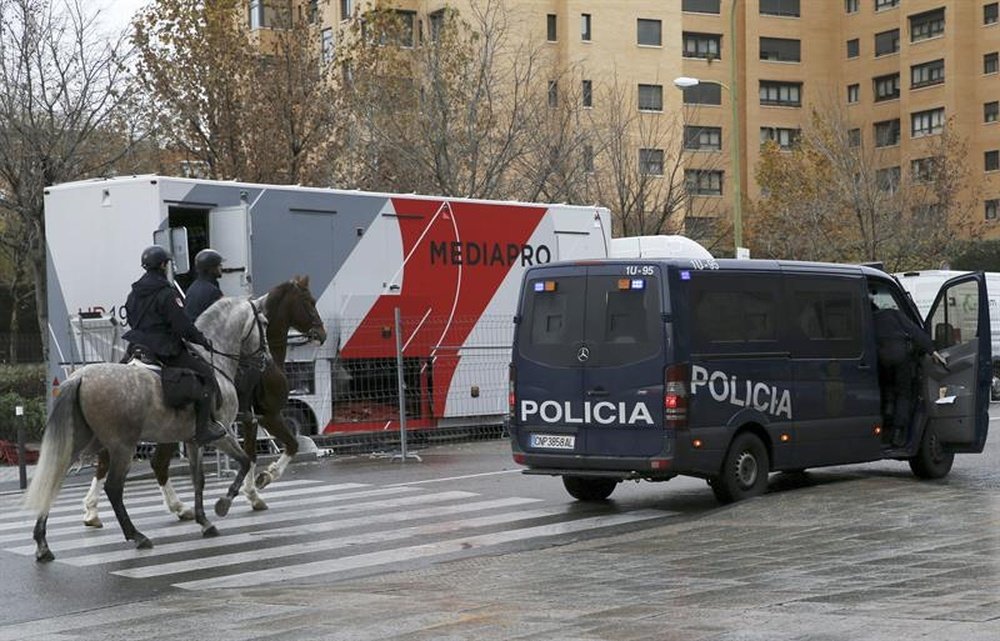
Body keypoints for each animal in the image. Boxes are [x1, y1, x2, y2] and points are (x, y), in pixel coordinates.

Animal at [24, 296, 266, 560]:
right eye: (264, 322)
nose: (265, 359)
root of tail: (80, 377)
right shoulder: (221, 434)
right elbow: (245, 461)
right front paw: (224, 503)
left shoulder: (193, 440)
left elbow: (198, 479)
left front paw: (204, 521)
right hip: (123, 447)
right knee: (113, 488)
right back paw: (137, 536)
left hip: (79, 442)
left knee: (54, 480)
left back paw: (43, 544)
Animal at [83, 276, 324, 524]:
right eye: (310, 302)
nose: (322, 334)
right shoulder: (267, 416)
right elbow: (286, 446)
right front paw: (262, 481)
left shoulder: (249, 419)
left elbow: (252, 453)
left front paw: (252, 491)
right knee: (155, 463)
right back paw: (176, 507)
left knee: (113, 462)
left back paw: (94, 511)